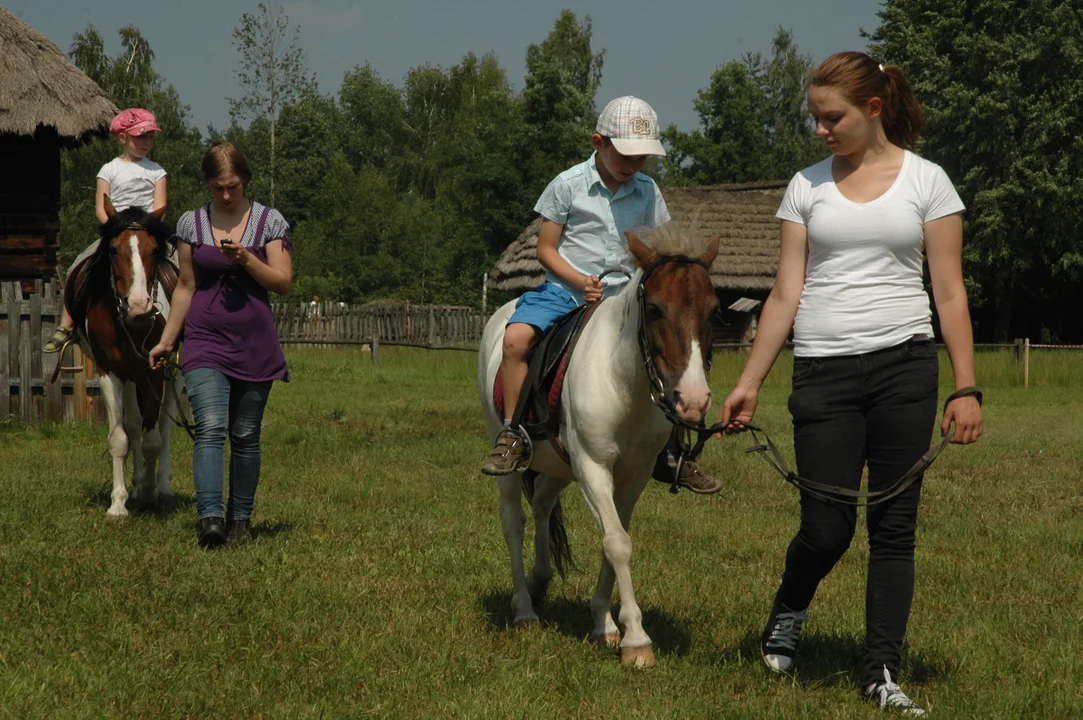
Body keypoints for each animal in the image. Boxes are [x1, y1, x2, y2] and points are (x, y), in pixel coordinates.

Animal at [476, 225, 719, 666]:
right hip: (507, 450)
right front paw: (635, 640)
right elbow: (617, 543)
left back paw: (540, 581)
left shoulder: (633, 476)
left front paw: (603, 625)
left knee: (542, 503)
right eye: (654, 309)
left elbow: (613, 538)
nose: (692, 400)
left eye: (714, 311)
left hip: (558, 463)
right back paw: (524, 610)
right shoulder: (592, 468)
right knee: (514, 522)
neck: (622, 383)